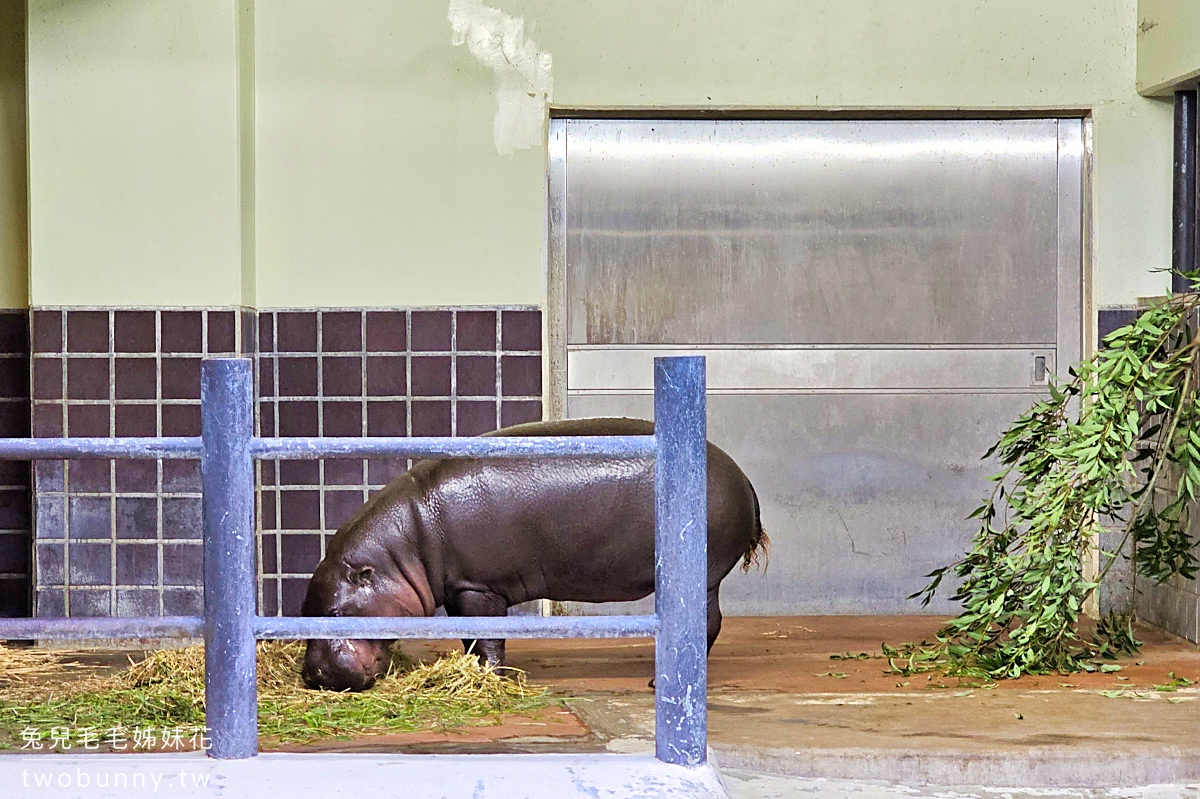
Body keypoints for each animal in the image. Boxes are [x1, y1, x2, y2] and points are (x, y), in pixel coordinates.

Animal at [300, 417, 768, 691]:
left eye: (335, 613)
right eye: (304, 609)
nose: (312, 675)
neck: (404, 547)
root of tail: (743, 476)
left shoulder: (478, 587)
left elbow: (486, 638)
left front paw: (490, 679)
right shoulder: (462, 589)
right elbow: (469, 638)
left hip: (699, 574)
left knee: (705, 623)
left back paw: (659, 682)